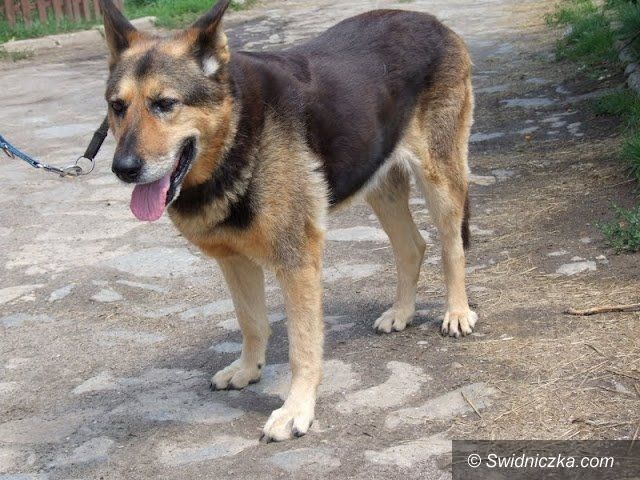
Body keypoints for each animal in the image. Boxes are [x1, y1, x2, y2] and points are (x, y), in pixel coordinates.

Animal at [99, 0, 476, 442]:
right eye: (118, 107)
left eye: (165, 103)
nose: (123, 169)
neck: (237, 133)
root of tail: (433, 22)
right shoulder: (234, 261)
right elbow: (251, 322)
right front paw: (248, 370)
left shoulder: (297, 264)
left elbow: (303, 346)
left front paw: (297, 409)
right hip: (378, 182)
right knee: (412, 246)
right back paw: (401, 312)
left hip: (440, 180)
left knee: (451, 246)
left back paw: (457, 312)